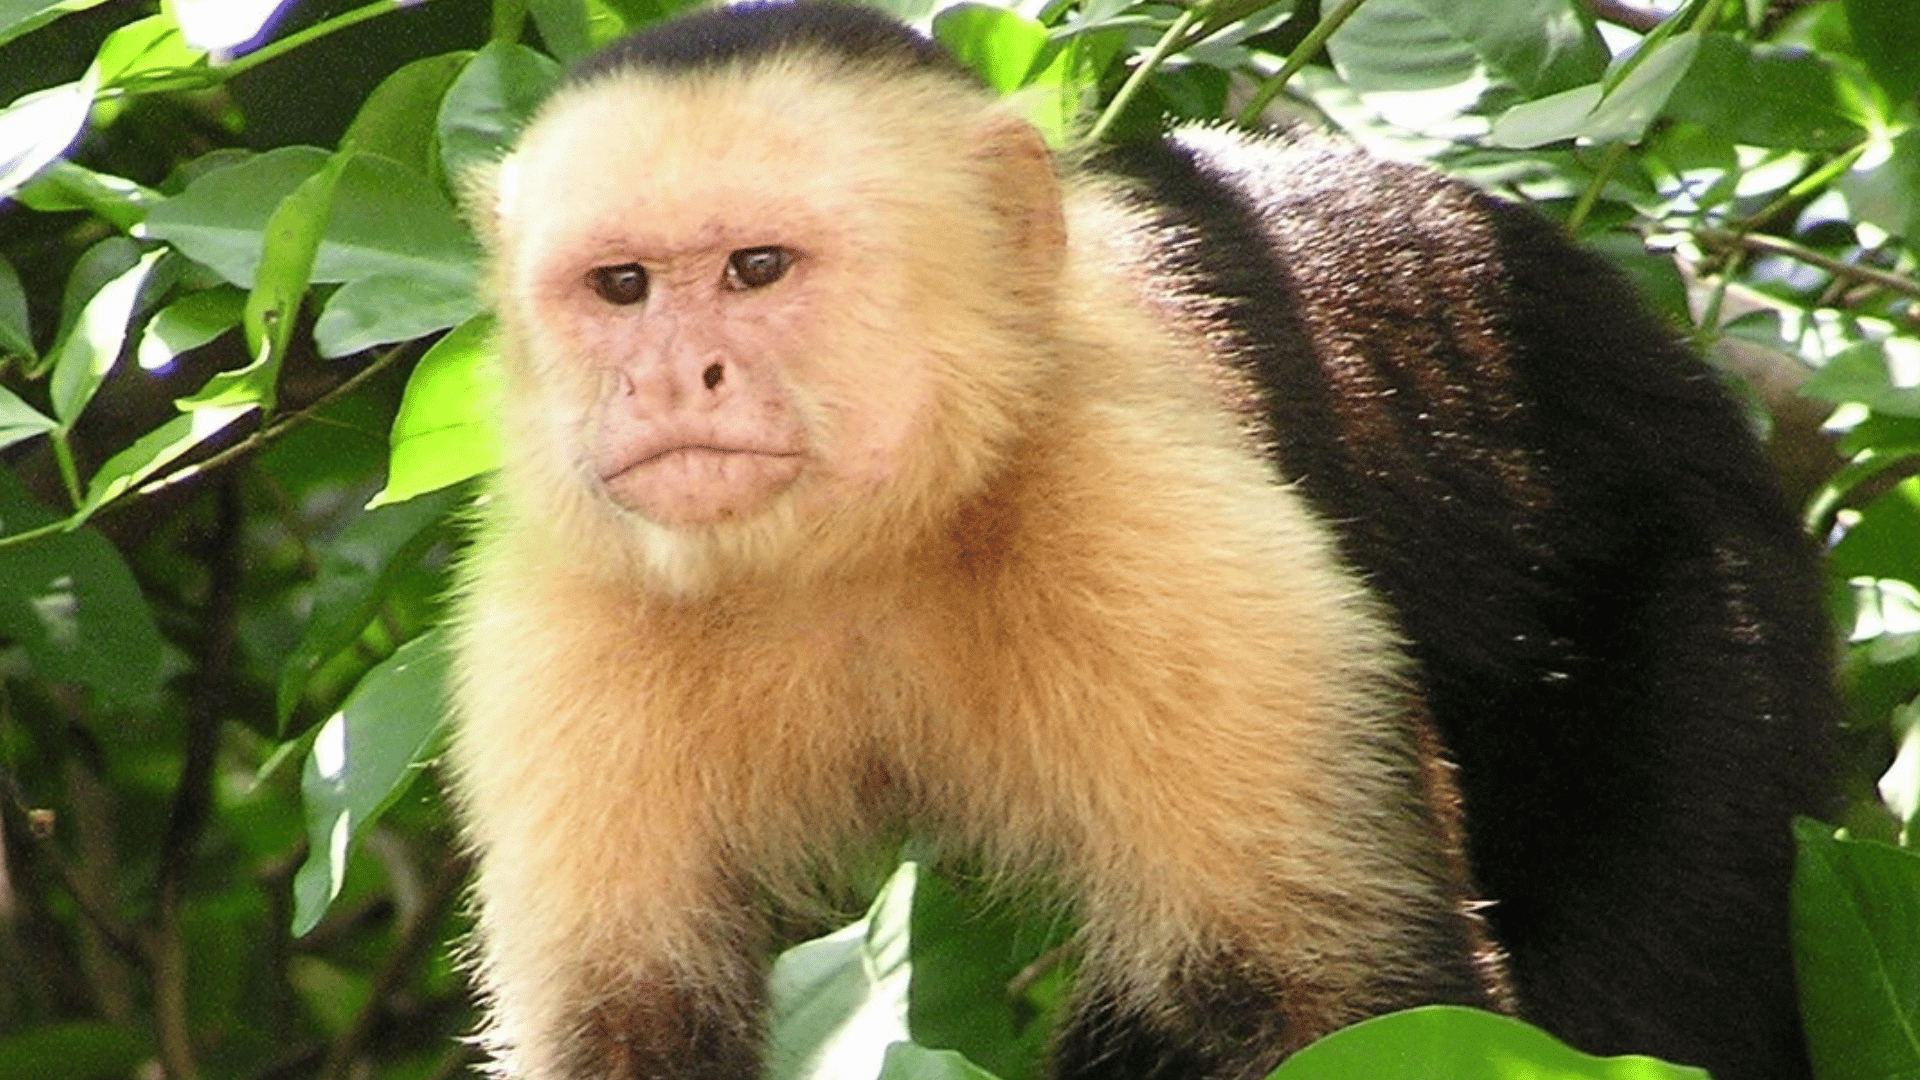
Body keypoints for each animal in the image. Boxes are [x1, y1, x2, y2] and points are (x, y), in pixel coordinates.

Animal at [443, 4, 1837, 1079]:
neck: (858, 552)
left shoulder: (1154, 519)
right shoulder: (560, 608)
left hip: (1704, 583)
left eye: (757, 268)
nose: (672, 380)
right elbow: (627, 1027)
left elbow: (1348, 1002)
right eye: (622, 287)